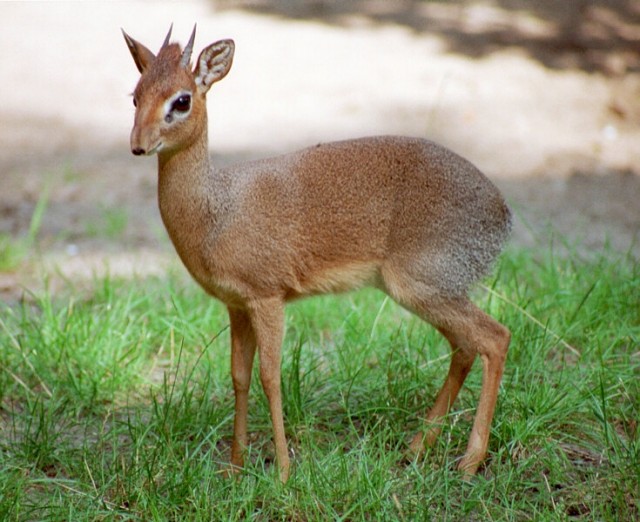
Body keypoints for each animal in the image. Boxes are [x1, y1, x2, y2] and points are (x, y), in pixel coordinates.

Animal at [124, 24, 516, 480]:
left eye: (182, 100)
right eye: (136, 95)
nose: (138, 145)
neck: (215, 213)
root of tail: (501, 212)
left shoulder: (267, 297)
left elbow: (270, 377)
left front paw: (282, 473)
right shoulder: (236, 305)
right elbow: (239, 376)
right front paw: (235, 467)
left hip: (424, 286)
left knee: (495, 337)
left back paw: (469, 461)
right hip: (432, 292)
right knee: (466, 347)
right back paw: (417, 448)